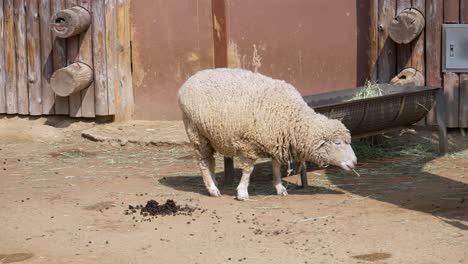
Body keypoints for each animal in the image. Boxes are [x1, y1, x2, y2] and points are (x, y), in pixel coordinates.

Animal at [177, 68, 356, 200]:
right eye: (338, 142)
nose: (354, 162)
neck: (291, 119)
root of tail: (188, 81)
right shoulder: (248, 144)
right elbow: (248, 170)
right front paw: (242, 192)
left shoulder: (277, 141)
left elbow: (276, 166)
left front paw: (279, 188)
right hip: (196, 132)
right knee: (203, 162)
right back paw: (212, 189)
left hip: (208, 136)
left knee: (210, 161)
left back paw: (213, 183)